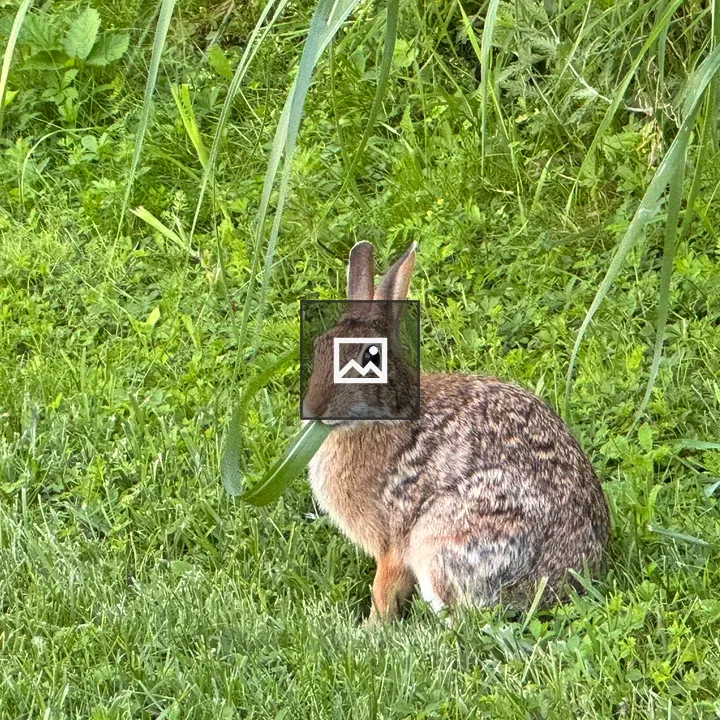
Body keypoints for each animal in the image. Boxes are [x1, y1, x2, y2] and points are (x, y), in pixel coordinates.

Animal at [302, 241, 609, 621]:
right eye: (319, 345)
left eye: (369, 360)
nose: (314, 408)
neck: (388, 411)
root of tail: (562, 580)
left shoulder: (393, 541)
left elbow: (384, 589)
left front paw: (372, 627)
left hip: (442, 538)